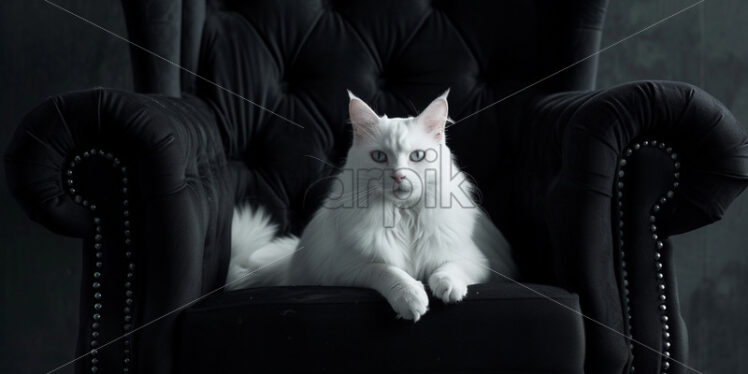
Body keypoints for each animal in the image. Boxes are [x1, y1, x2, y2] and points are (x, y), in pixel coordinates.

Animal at [228, 91, 516, 322]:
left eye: (417, 156)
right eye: (379, 157)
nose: (398, 176)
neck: (404, 216)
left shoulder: (478, 260)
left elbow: (450, 268)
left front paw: (447, 287)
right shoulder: (346, 268)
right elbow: (389, 272)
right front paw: (411, 298)